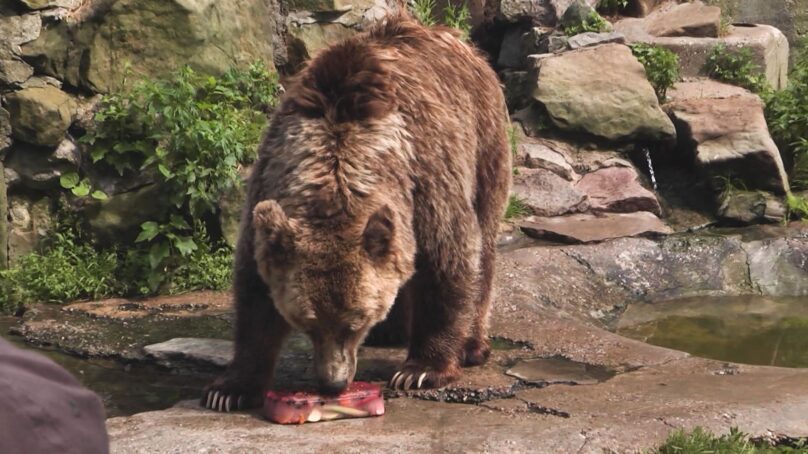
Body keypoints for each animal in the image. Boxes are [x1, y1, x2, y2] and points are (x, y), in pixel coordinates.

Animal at [202, 11, 511, 412]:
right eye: (308, 322)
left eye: (355, 321)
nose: (332, 383)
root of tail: (452, 36)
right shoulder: (270, 178)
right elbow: (254, 292)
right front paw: (231, 388)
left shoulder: (426, 177)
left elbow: (448, 259)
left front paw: (422, 369)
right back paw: (392, 331)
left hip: (484, 141)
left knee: (484, 241)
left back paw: (472, 345)